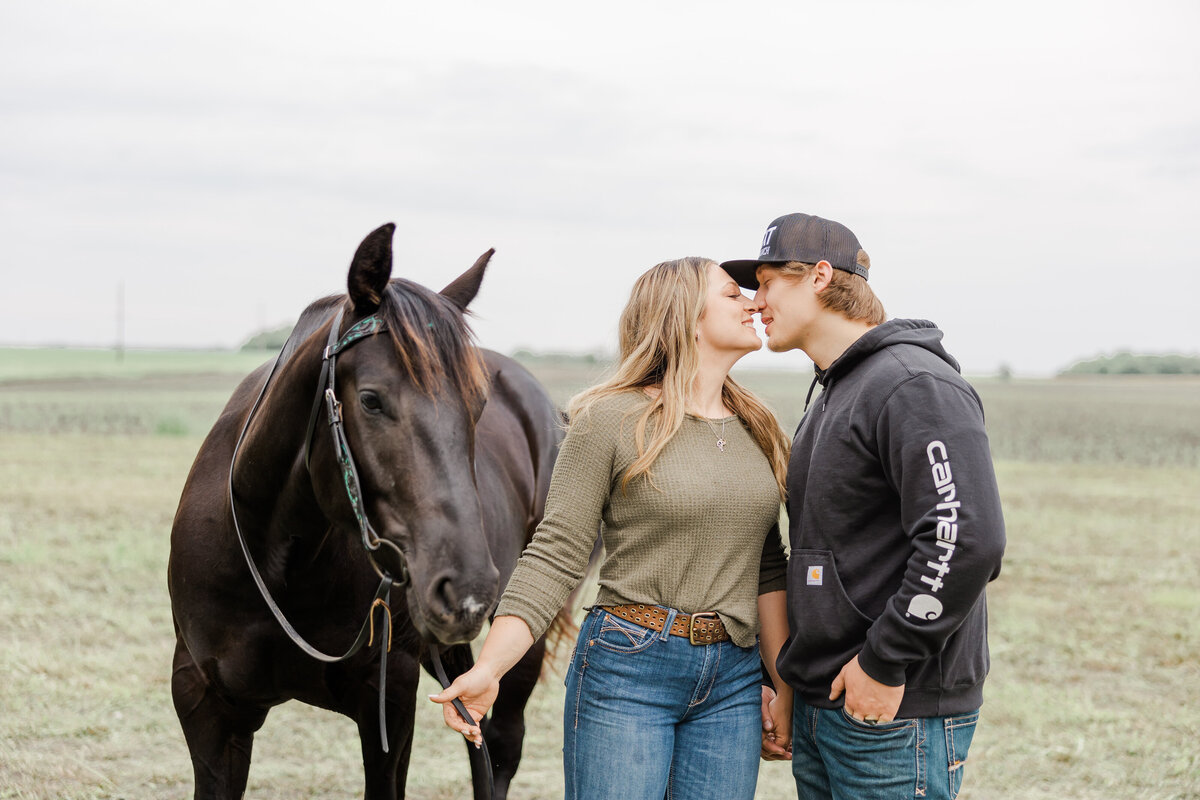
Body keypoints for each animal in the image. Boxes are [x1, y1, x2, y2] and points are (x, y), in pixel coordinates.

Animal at [166, 224, 568, 800]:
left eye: (478, 405)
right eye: (372, 401)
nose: (467, 590)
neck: (277, 559)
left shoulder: (389, 699)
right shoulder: (206, 704)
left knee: (500, 747)